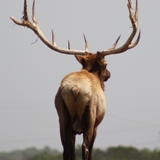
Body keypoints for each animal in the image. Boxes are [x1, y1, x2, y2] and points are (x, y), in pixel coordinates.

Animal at [10, 0, 141, 160]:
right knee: (85, 147)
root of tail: (75, 89)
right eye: (106, 64)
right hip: (89, 116)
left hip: (62, 117)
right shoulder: (96, 125)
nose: (109, 74)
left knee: (67, 149)